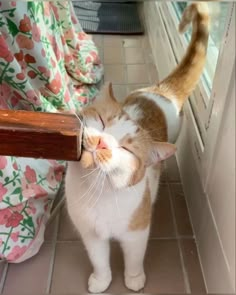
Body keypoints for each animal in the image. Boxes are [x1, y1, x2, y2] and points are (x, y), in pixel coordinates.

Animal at [65, 2, 209, 294]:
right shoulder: (91, 234)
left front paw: (133, 279)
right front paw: (101, 280)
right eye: (102, 121)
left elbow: (134, 258)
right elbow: (99, 260)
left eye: (127, 150)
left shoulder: (137, 232)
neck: (99, 193)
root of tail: (160, 91)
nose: (102, 142)